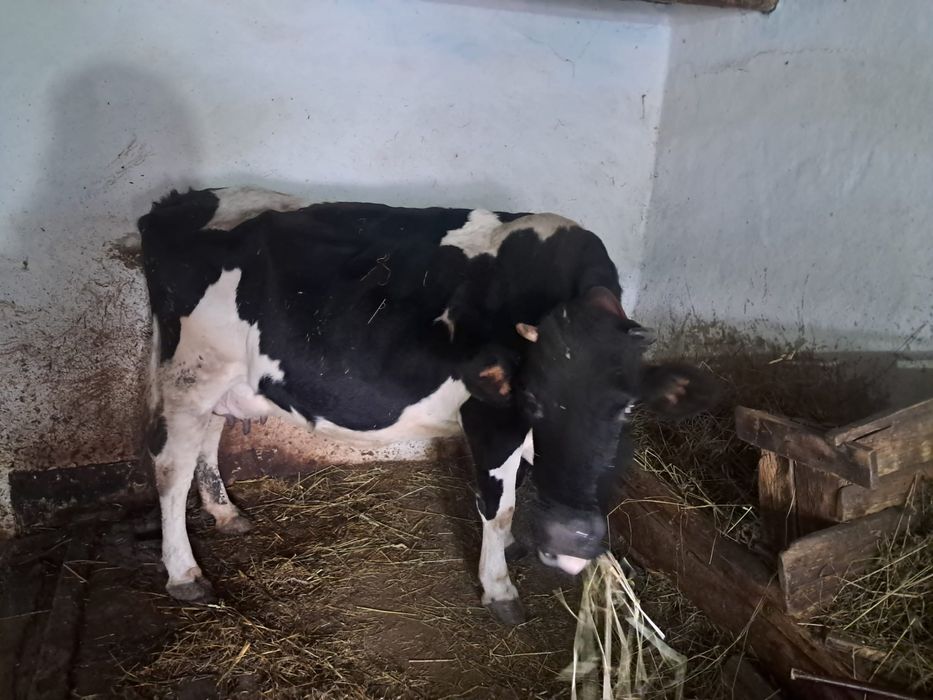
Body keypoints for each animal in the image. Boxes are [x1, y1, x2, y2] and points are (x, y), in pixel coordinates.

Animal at [139, 186, 717, 625]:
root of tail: (179, 202)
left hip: (223, 380)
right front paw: (499, 587)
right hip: (191, 370)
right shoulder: (490, 418)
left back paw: (226, 513)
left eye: (627, 409)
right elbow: (500, 506)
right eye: (532, 398)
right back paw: (185, 574)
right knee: (170, 464)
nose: (572, 540)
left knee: (208, 440)